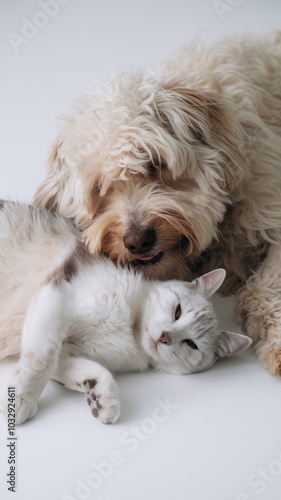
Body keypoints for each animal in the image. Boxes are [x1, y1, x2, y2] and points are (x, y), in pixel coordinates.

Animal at [0, 201, 249, 424]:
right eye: (178, 311)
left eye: (192, 344)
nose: (164, 337)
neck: (129, 329)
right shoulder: (56, 296)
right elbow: (42, 358)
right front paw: (20, 399)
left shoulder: (71, 350)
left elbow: (85, 369)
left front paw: (102, 398)